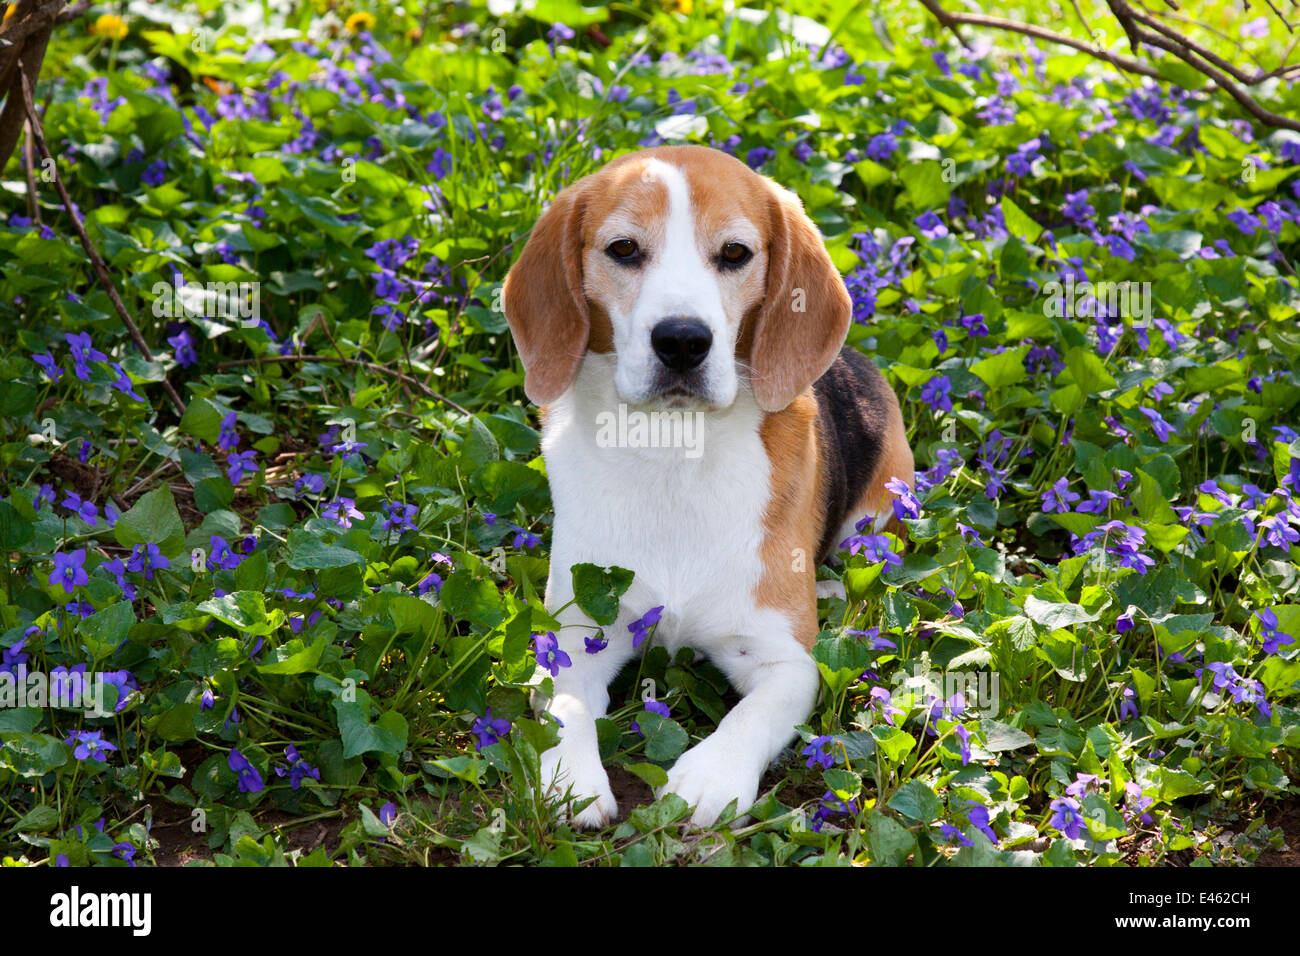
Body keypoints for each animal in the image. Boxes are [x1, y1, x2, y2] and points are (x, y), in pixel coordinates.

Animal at [499, 143, 915, 832]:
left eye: (735, 253)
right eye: (623, 249)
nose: (682, 340)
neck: (674, 450)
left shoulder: (784, 661)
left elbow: (751, 715)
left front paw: (709, 777)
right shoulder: (578, 632)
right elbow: (566, 708)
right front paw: (570, 777)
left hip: (884, 505)